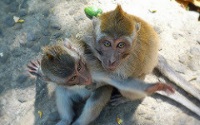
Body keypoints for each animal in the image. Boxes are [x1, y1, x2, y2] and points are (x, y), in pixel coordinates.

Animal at [27, 41, 177, 124]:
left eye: (79, 67)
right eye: (73, 78)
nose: (86, 79)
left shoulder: (94, 68)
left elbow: (121, 81)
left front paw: (156, 86)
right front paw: (39, 70)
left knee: (98, 96)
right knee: (61, 90)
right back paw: (66, 120)